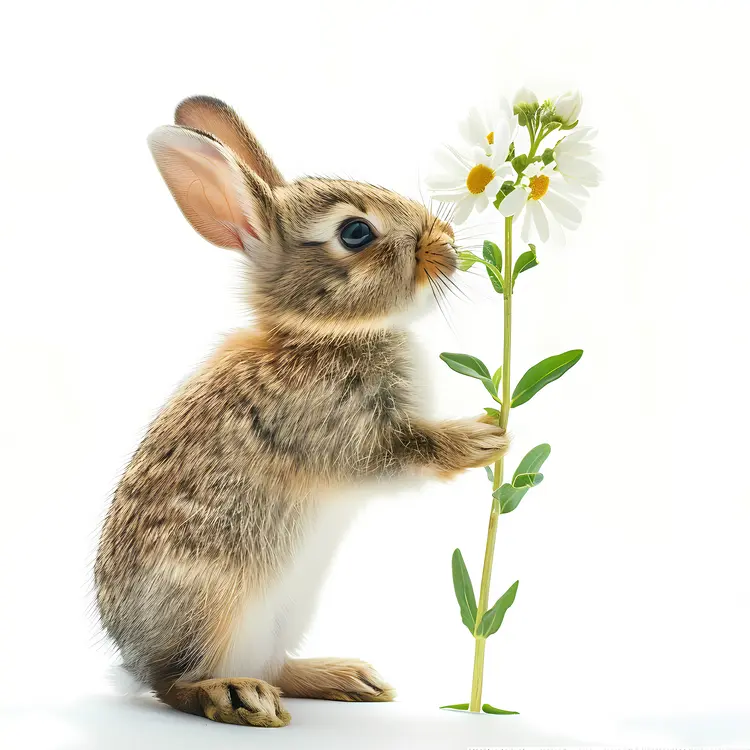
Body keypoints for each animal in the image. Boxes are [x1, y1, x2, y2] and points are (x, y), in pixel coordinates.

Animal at [94, 95, 509, 728]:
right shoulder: (342, 433)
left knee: (273, 667)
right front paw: (483, 438)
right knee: (175, 684)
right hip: (214, 607)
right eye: (356, 232)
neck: (323, 334)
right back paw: (235, 695)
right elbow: (402, 453)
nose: (445, 239)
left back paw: (348, 678)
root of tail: (132, 659)